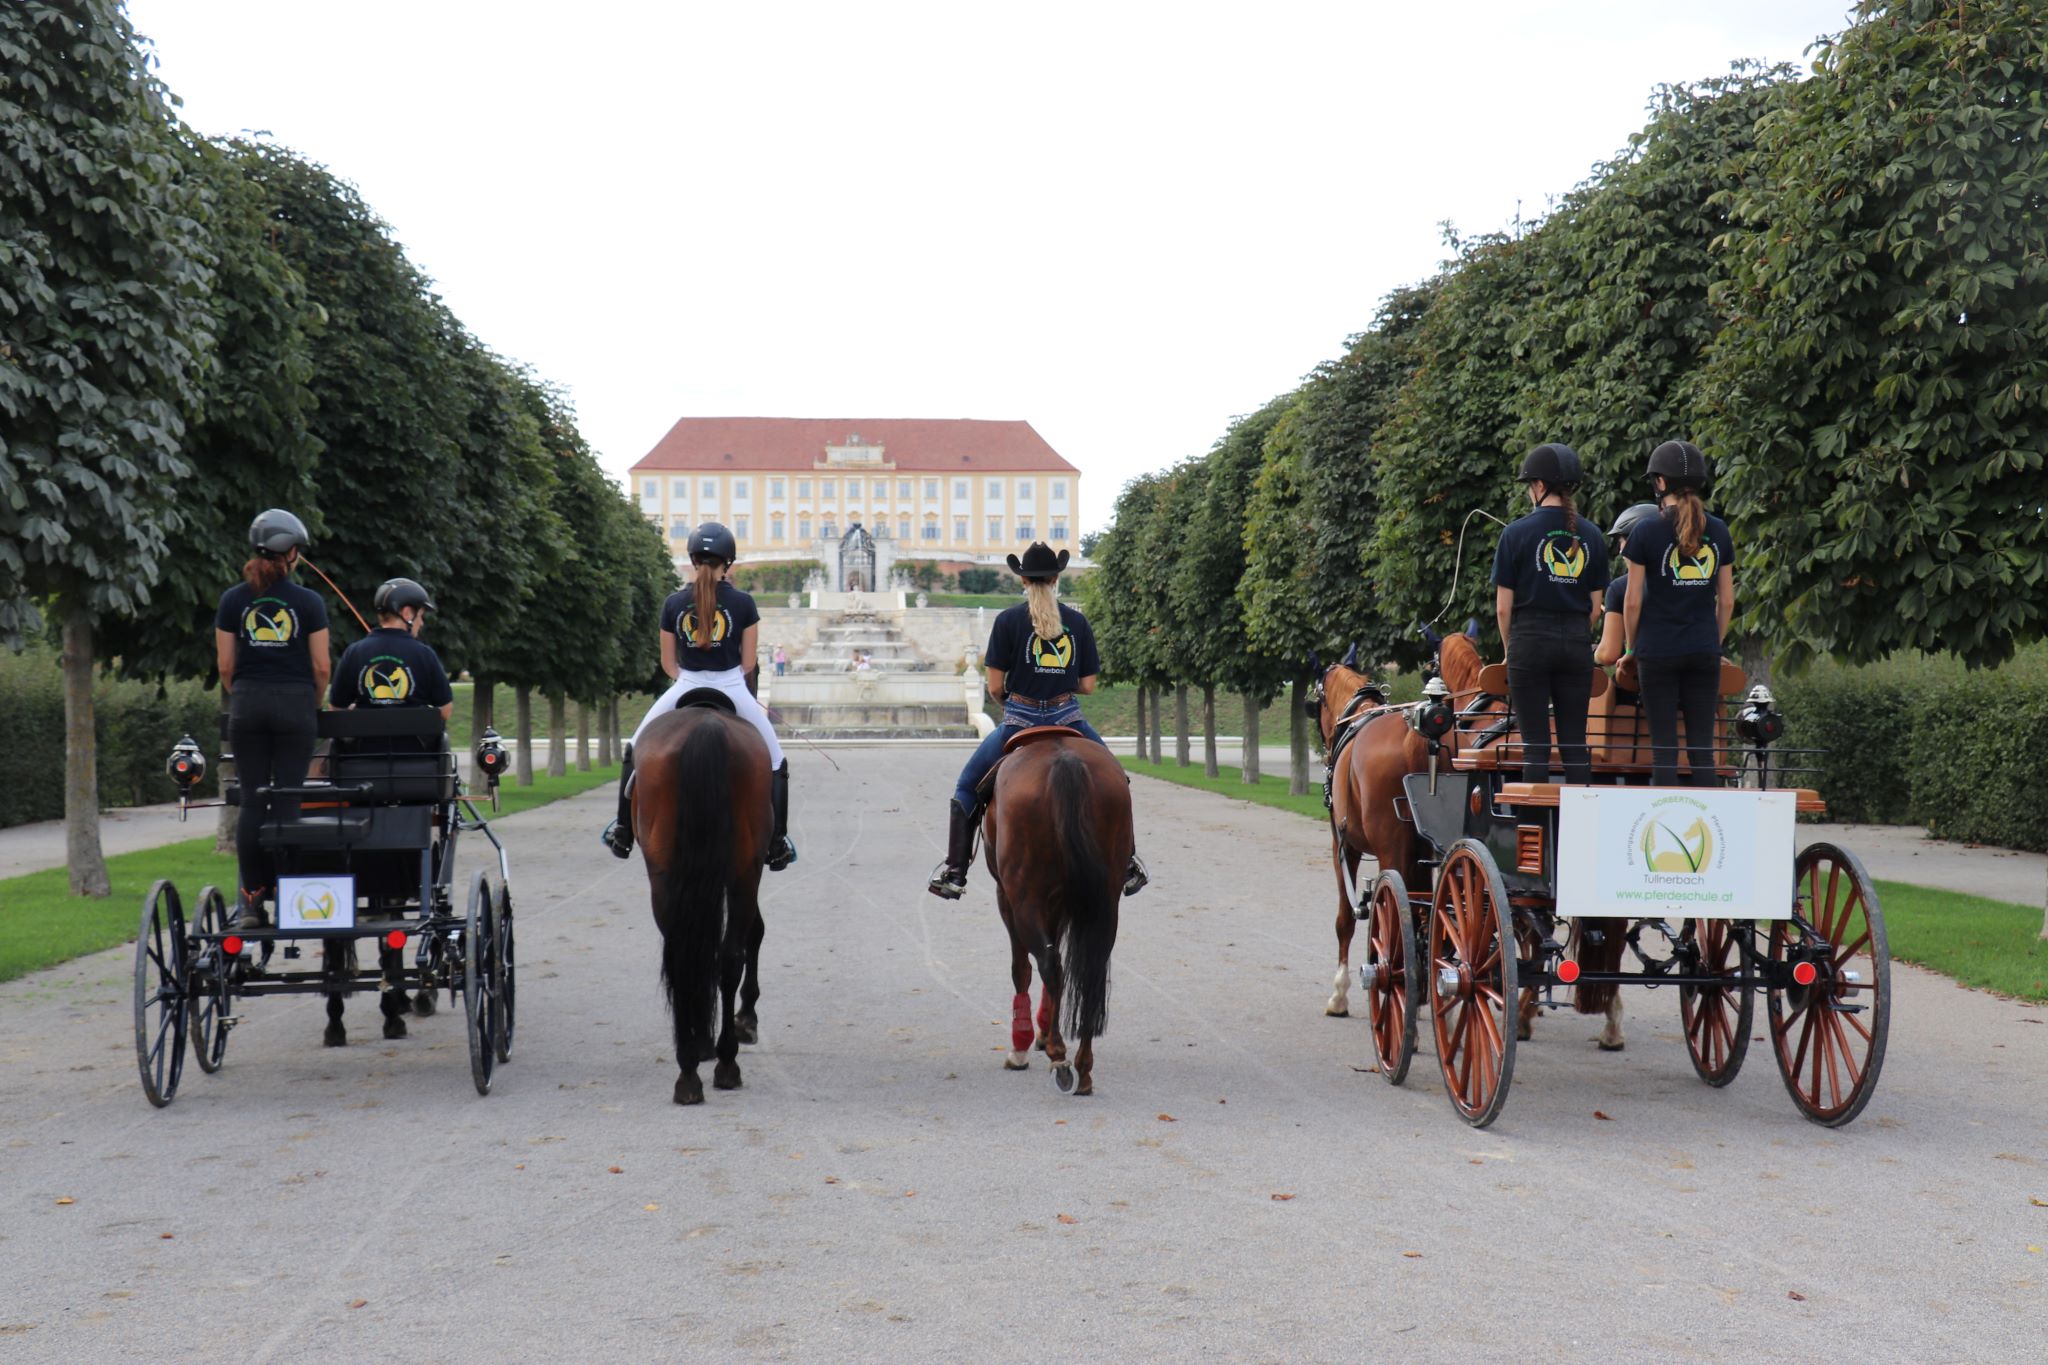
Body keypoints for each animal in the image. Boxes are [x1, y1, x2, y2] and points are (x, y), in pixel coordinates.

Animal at [626, 699, 770, 1105]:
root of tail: (706, 725)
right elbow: (753, 934)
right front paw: (743, 1021)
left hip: (667, 875)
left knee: (691, 956)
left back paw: (696, 1066)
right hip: (738, 872)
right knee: (720, 955)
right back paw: (715, 1061)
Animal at [978, 736, 1130, 1096]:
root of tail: (1065, 762)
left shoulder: (1008, 897)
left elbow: (1022, 967)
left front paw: (1023, 1045)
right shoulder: (1061, 900)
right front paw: (1044, 1031)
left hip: (1023, 895)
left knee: (1047, 963)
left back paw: (1059, 1058)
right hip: (1104, 900)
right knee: (1089, 967)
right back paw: (1083, 1067)